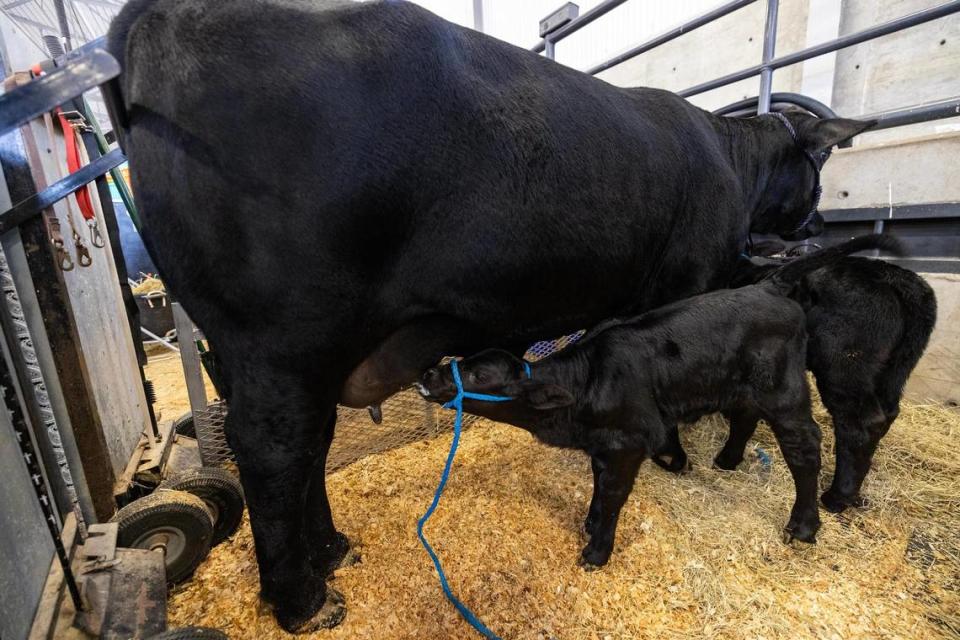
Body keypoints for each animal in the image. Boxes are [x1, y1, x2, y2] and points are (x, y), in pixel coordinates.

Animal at [418, 235, 900, 568]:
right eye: (464, 360)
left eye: (481, 376)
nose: (428, 374)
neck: (584, 388)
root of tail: (768, 287)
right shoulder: (604, 446)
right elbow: (597, 486)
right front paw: (590, 523)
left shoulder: (629, 442)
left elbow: (613, 494)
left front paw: (596, 551)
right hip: (745, 386)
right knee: (747, 417)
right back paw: (728, 461)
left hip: (783, 389)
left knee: (806, 446)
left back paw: (804, 525)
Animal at [656, 252, 932, 512]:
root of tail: (898, 278)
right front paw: (728, 460)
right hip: (891, 374)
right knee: (887, 414)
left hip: (843, 367)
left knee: (860, 425)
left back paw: (837, 497)